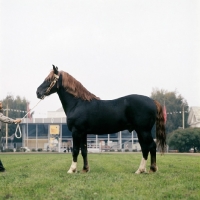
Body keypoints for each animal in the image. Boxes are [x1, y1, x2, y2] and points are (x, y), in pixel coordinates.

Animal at [36, 65, 166, 173]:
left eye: (49, 80)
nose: (38, 92)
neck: (77, 103)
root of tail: (153, 101)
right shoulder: (83, 133)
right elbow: (84, 150)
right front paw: (85, 169)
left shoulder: (76, 131)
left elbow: (75, 150)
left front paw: (72, 170)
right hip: (140, 131)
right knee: (145, 148)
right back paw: (140, 170)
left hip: (144, 131)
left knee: (151, 146)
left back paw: (152, 169)